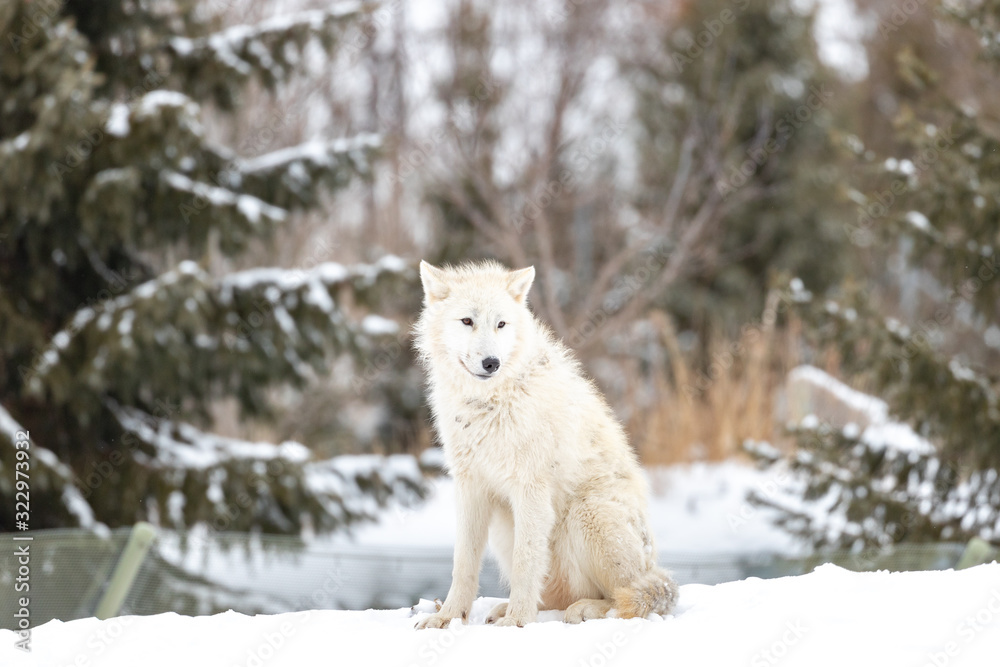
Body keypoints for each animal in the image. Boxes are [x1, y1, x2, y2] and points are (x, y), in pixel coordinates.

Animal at [412, 260, 678, 629]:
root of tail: (655, 568)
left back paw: (581, 609)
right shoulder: (470, 487)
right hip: (503, 528)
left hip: (587, 515)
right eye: (467, 321)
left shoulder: (530, 488)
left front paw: (517, 622)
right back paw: (506, 609)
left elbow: (526, 561)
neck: (489, 403)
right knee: (557, 595)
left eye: (501, 324)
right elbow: (462, 563)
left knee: (626, 597)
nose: (491, 363)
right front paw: (448, 617)